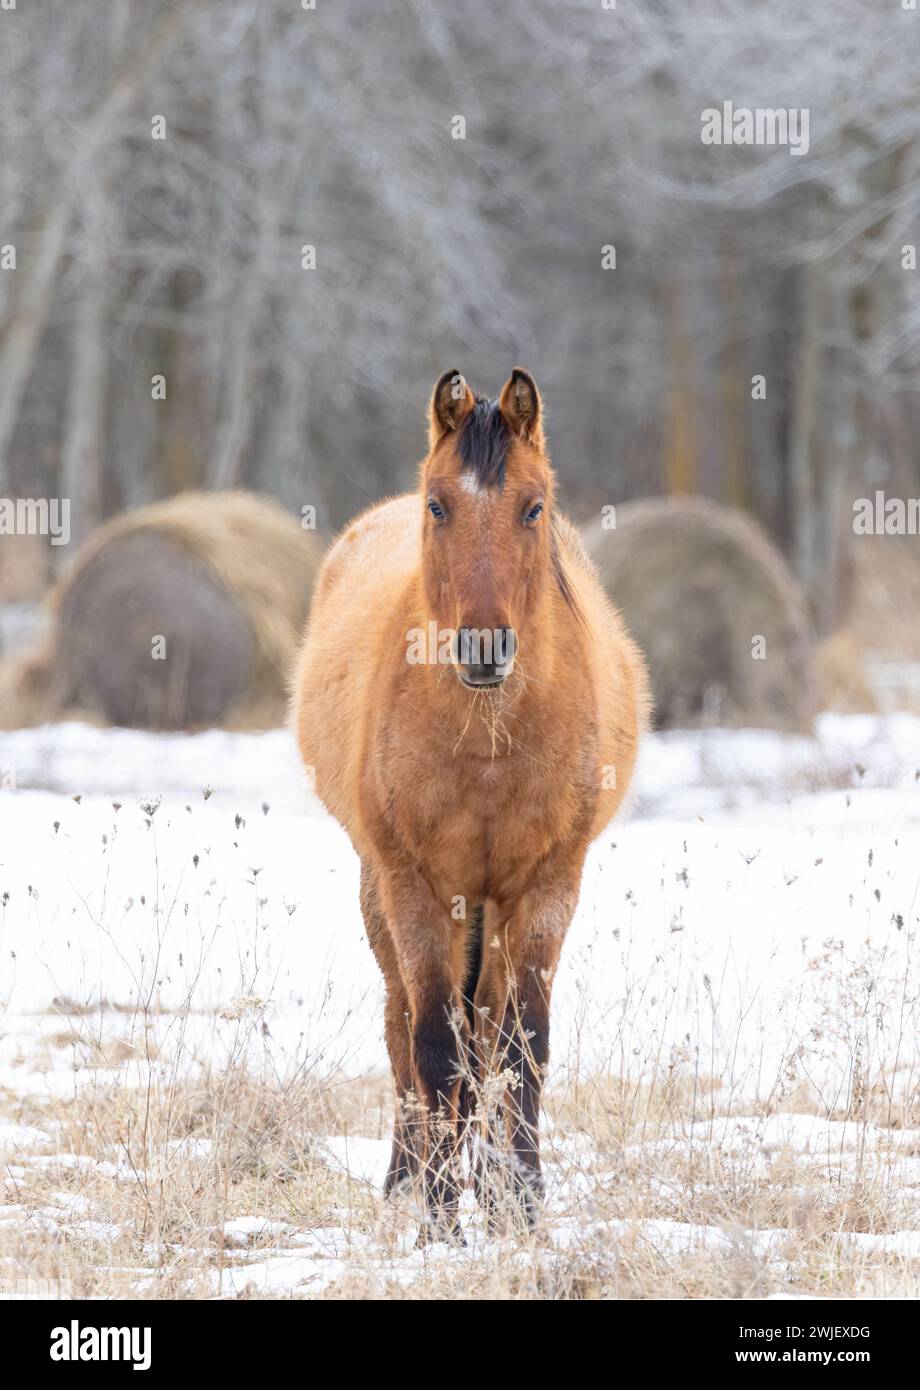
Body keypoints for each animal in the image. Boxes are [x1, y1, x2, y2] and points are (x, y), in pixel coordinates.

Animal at [293, 368, 649, 1241]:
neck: (489, 745)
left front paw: (519, 1210)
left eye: (533, 506)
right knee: (404, 1033)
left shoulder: (547, 888)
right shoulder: (419, 890)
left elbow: (520, 1047)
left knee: (486, 1032)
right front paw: (437, 1220)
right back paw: (411, 1182)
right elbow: (432, 1047)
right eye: (437, 505)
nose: (484, 649)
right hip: (390, 893)